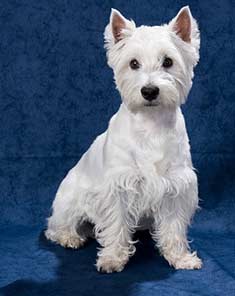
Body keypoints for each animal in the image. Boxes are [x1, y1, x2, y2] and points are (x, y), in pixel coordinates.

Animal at [45, 5, 202, 272]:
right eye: (133, 63)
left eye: (168, 61)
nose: (149, 91)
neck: (151, 126)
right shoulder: (118, 187)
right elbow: (116, 225)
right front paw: (112, 258)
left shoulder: (176, 186)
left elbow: (173, 227)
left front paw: (180, 257)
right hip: (69, 201)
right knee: (55, 226)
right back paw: (70, 237)